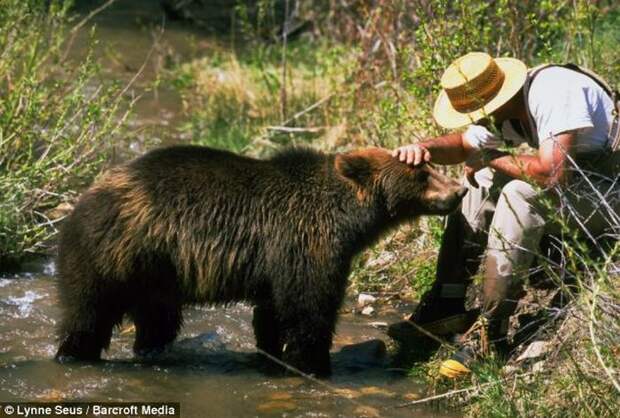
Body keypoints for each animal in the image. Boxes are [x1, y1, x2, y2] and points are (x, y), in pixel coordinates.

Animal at [55, 145, 464, 376]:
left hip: (155, 274)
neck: (349, 217)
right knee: (88, 313)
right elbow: (309, 307)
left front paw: (273, 352)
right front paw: (314, 365)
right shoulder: (304, 241)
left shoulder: (278, 261)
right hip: (115, 255)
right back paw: (73, 354)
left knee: (158, 319)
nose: (459, 190)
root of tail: (85, 197)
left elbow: (272, 311)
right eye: (423, 174)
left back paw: (152, 350)